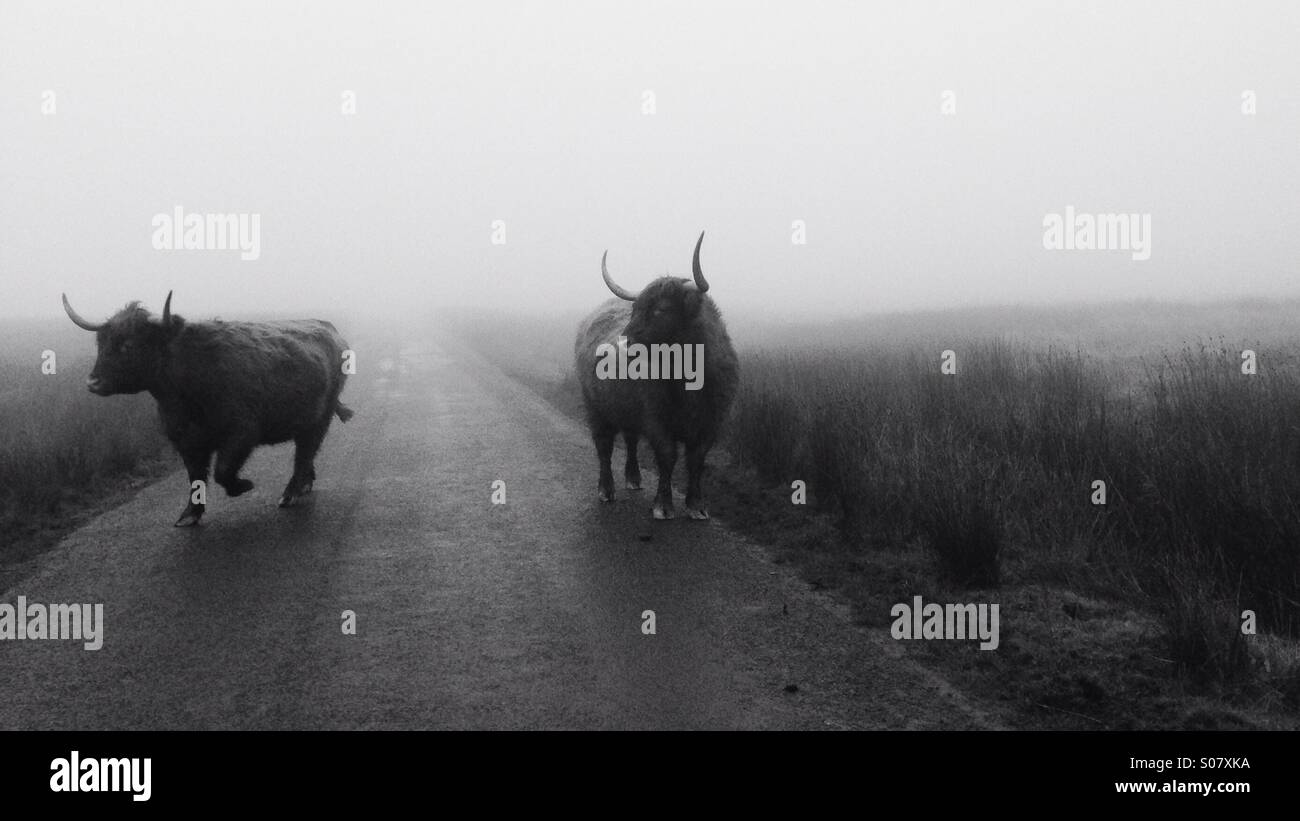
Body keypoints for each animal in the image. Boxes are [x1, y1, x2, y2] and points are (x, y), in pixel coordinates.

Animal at [63, 292, 353, 530]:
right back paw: (304, 484)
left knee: (305, 452)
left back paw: (291, 492)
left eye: (128, 345)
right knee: (306, 452)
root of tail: (329, 329)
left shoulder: (242, 433)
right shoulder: (185, 441)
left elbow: (222, 471)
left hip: (321, 417)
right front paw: (189, 514)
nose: (92, 382)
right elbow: (196, 478)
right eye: (101, 343)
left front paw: (243, 486)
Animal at [574, 231, 738, 519]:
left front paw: (697, 506)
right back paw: (606, 490)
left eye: (661, 310)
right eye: (635, 308)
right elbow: (667, 456)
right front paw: (663, 505)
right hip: (596, 408)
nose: (624, 341)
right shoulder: (657, 420)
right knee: (604, 446)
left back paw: (634, 479)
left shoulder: (710, 424)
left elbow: (696, 461)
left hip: (627, 410)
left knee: (630, 440)